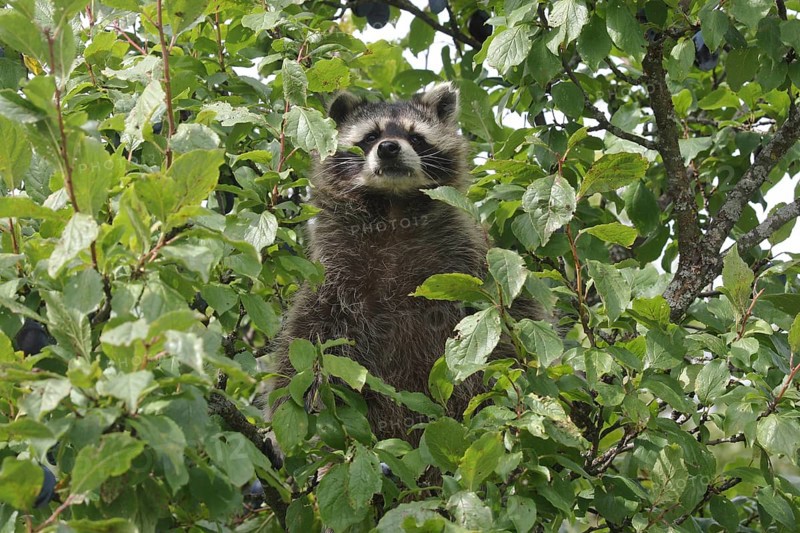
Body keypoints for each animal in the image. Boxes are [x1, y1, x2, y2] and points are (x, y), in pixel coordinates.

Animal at [269, 84, 515, 444]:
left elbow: (509, 317)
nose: (388, 148)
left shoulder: (464, 252)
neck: (393, 206)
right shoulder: (334, 268)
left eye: (415, 137)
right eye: (371, 137)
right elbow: (307, 331)